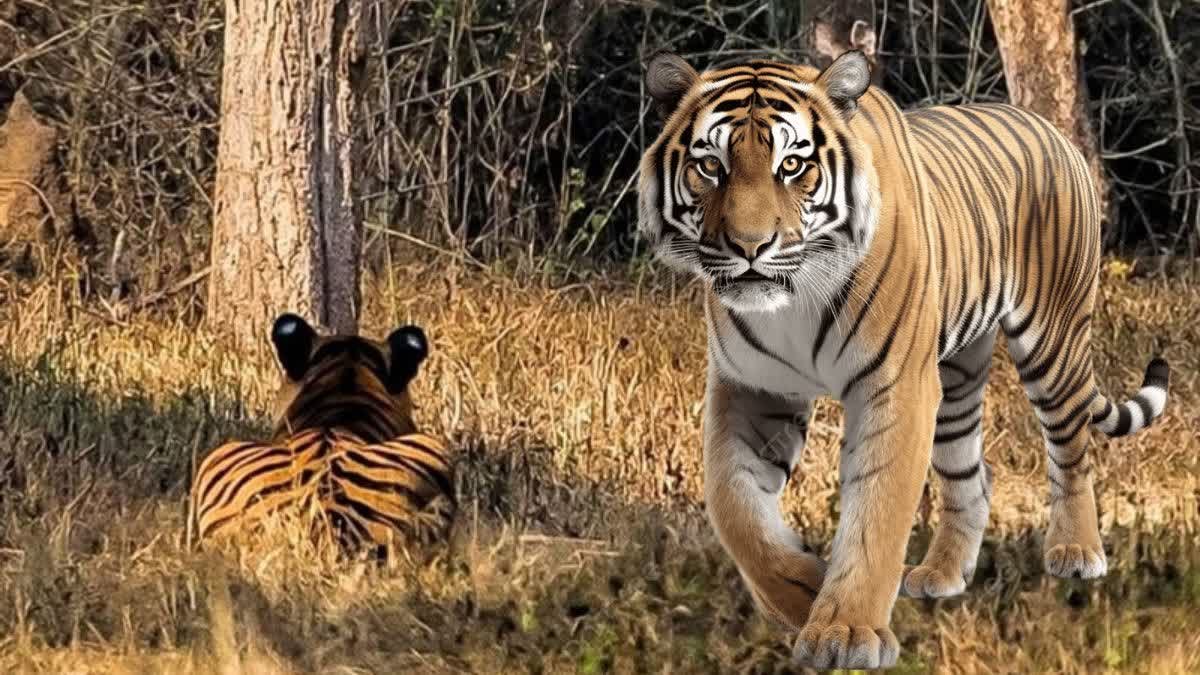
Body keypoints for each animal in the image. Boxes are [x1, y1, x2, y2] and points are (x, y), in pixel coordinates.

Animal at [637, 50, 1172, 669]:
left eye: (793, 165)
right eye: (711, 166)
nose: (750, 247)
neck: (792, 300)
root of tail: (1051, 130)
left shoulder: (894, 385)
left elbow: (878, 509)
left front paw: (844, 633)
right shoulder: (753, 388)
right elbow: (734, 506)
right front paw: (801, 592)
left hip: (1053, 340)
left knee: (1072, 449)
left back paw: (1077, 551)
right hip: (957, 375)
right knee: (972, 475)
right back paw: (942, 574)